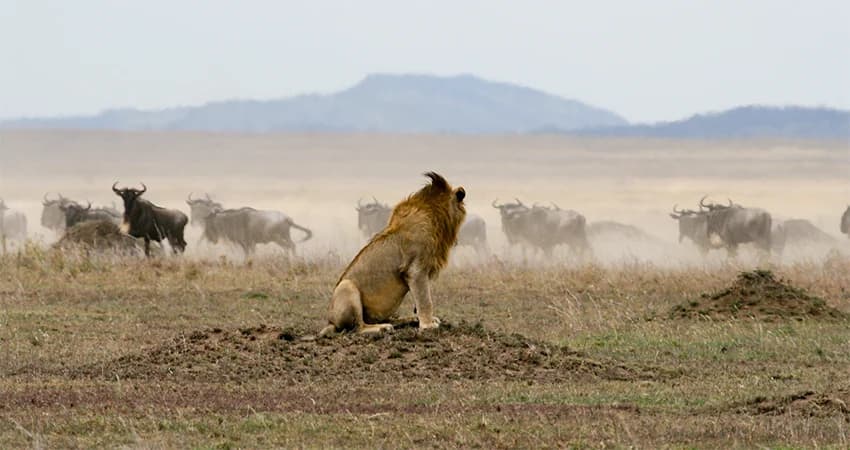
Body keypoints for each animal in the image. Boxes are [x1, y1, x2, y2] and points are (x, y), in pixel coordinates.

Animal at [319, 172, 466, 335]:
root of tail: (330, 321)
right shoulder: (416, 270)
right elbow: (425, 299)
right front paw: (428, 325)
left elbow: (419, 301)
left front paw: (423, 319)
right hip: (346, 286)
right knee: (358, 327)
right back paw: (384, 328)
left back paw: (408, 320)